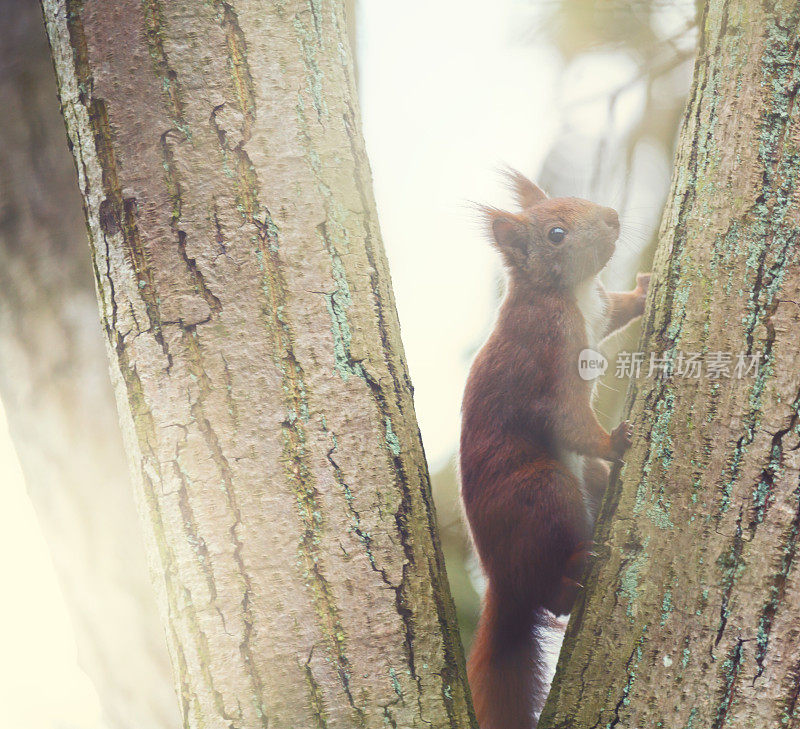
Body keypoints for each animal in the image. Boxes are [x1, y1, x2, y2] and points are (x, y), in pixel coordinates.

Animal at [456, 172, 648, 728]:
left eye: (578, 198)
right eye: (556, 234)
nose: (611, 217)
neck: (567, 291)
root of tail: (501, 581)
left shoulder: (598, 310)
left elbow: (616, 310)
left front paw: (644, 292)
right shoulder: (548, 358)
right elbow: (567, 419)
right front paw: (614, 440)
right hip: (542, 490)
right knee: (551, 598)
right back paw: (572, 576)